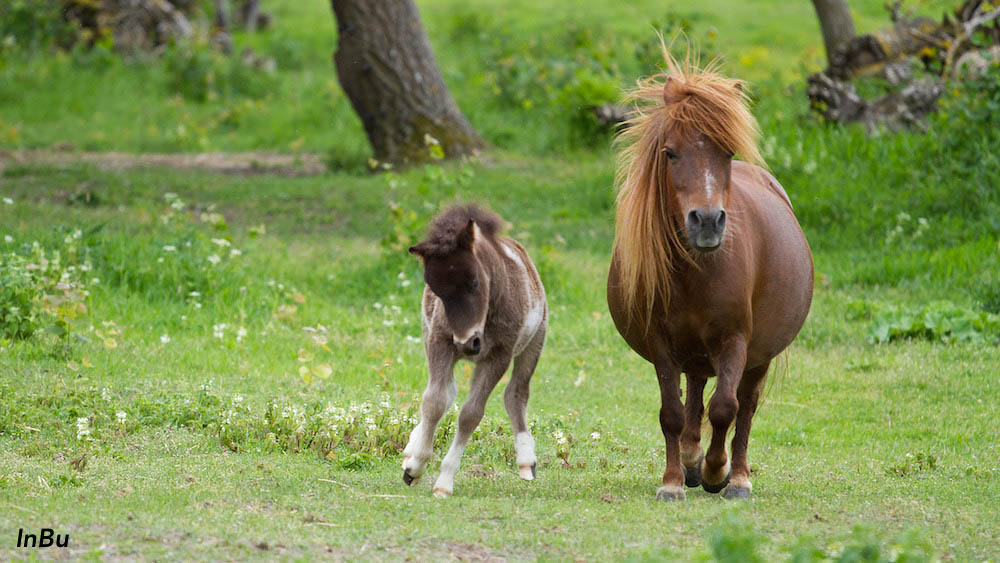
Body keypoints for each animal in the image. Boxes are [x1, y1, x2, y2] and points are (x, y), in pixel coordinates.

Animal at [608, 50, 812, 502]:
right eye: (670, 152)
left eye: (728, 152)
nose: (706, 221)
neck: (697, 271)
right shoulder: (662, 344)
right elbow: (672, 412)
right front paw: (673, 480)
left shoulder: (735, 341)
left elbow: (725, 409)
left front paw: (718, 472)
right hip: (696, 353)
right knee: (696, 394)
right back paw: (689, 460)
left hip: (758, 356)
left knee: (744, 406)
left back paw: (737, 476)